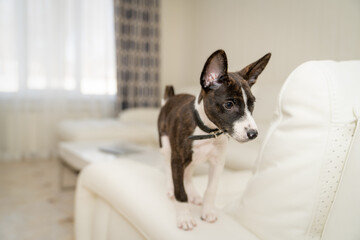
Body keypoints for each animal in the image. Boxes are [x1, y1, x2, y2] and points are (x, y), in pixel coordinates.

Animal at [158, 49, 270, 231]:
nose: (253, 134)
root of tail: (170, 98)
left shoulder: (218, 163)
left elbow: (211, 189)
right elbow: (180, 191)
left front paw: (208, 211)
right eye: (229, 105)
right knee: (169, 169)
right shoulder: (177, 159)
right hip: (166, 145)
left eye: (252, 104)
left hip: (193, 158)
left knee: (188, 173)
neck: (208, 132)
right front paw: (184, 217)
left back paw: (193, 194)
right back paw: (170, 188)